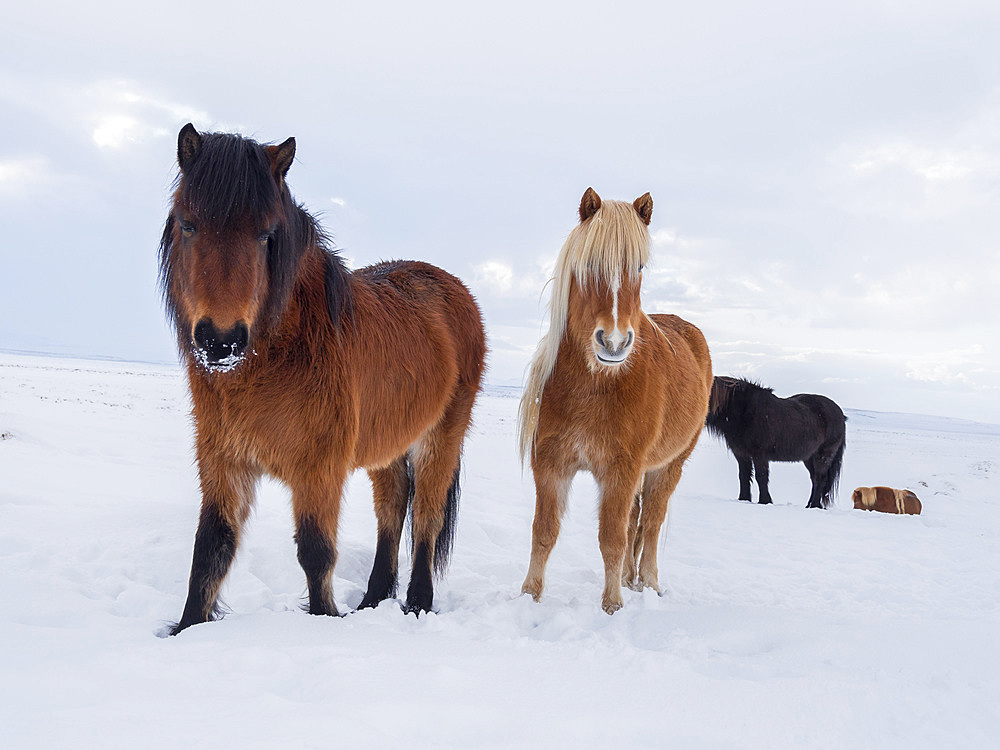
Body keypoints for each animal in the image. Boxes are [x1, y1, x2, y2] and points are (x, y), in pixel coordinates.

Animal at [161, 125, 488, 636]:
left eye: (266, 235)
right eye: (187, 224)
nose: (220, 342)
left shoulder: (319, 468)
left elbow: (316, 552)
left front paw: (324, 619)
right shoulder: (223, 460)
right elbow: (211, 548)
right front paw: (189, 628)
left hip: (441, 438)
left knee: (426, 519)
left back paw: (417, 603)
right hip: (387, 447)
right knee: (392, 508)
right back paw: (373, 600)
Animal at [516, 189, 712, 616]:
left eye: (638, 266)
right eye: (589, 263)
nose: (615, 343)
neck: (595, 386)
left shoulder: (621, 470)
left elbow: (612, 537)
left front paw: (611, 607)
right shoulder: (551, 465)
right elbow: (544, 532)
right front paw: (528, 596)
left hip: (668, 466)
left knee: (651, 522)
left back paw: (648, 583)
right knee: (636, 519)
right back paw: (628, 578)